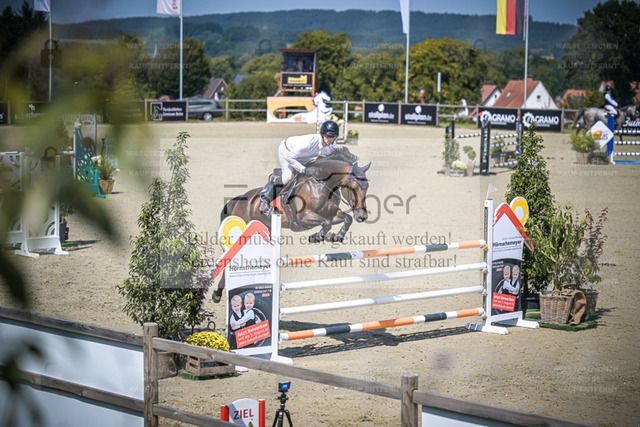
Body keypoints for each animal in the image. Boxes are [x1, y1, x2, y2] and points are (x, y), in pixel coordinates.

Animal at [213, 149, 371, 302]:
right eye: (354, 187)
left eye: (367, 187)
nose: (362, 216)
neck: (322, 185)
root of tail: (237, 201)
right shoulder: (303, 218)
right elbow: (325, 224)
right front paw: (317, 237)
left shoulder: (332, 215)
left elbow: (347, 219)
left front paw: (336, 237)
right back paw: (217, 294)